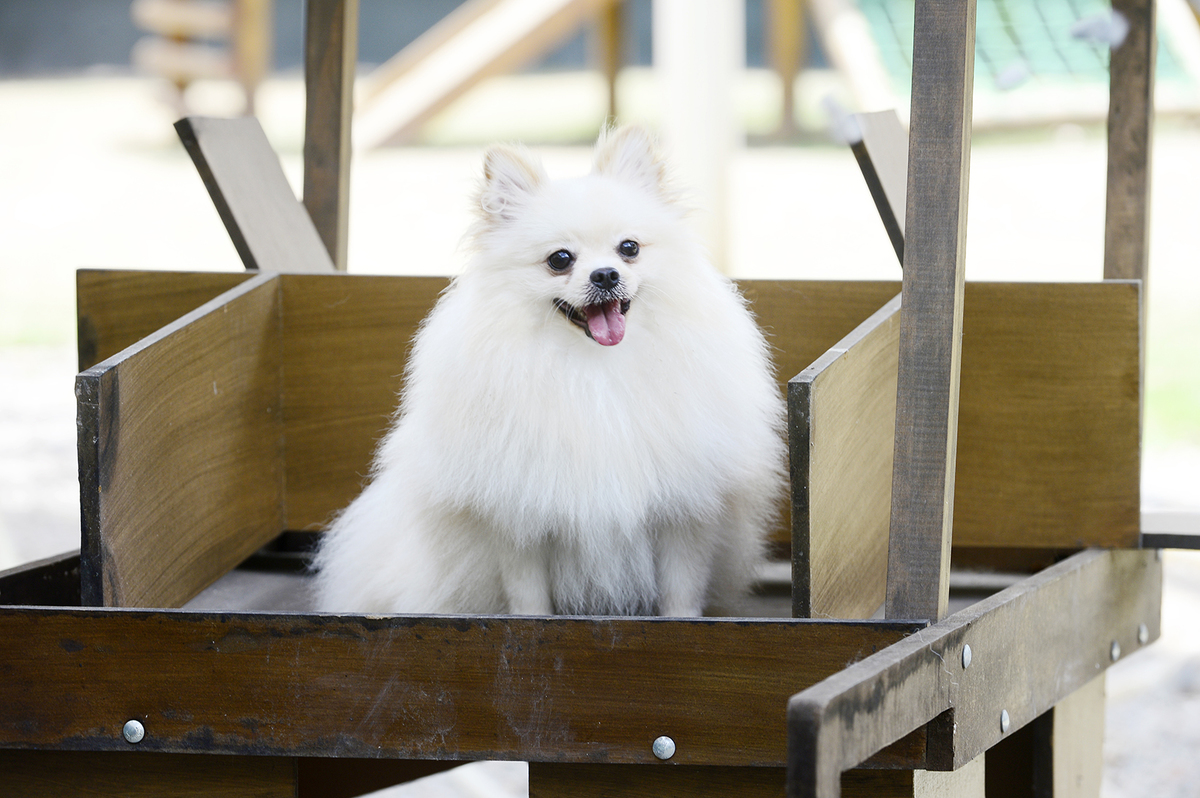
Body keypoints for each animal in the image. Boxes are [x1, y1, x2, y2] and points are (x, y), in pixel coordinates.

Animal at [313, 126, 785, 617]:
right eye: (560, 259)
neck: (595, 369)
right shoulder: (519, 518)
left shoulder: (684, 512)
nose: (605, 274)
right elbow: (529, 600)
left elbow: (682, 593)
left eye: (629, 248)